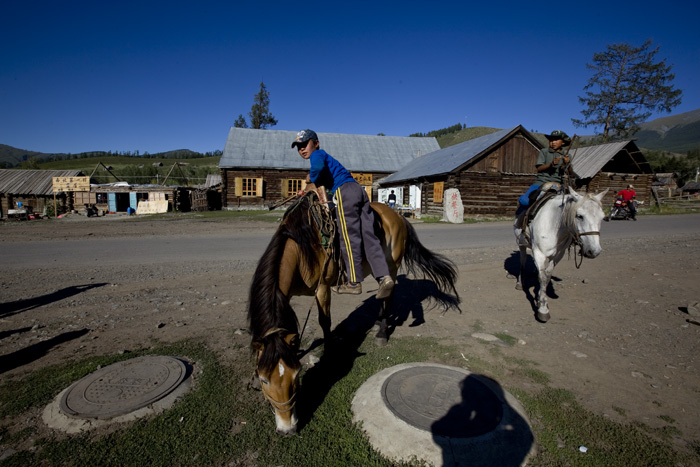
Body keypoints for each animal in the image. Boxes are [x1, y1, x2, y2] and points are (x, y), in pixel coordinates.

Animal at [246, 191, 460, 436]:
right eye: (264, 380)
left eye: (296, 375)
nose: (287, 428)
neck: (302, 248)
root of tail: (398, 216)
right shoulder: (286, 294)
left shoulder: (322, 287)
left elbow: (325, 320)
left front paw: (329, 354)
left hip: (392, 265)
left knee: (388, 296)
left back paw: (382, 333)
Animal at [516, 188, 608, 324]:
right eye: (579, 216)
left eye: (602, 217)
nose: (594, 251)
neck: (554, 225)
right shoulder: (539, 253)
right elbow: (542, 278)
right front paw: (543, 310)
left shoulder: (558, 255)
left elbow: (547, 276)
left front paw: (540, 299)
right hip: (521, 244)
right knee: (522, 260)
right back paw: (519, 283)